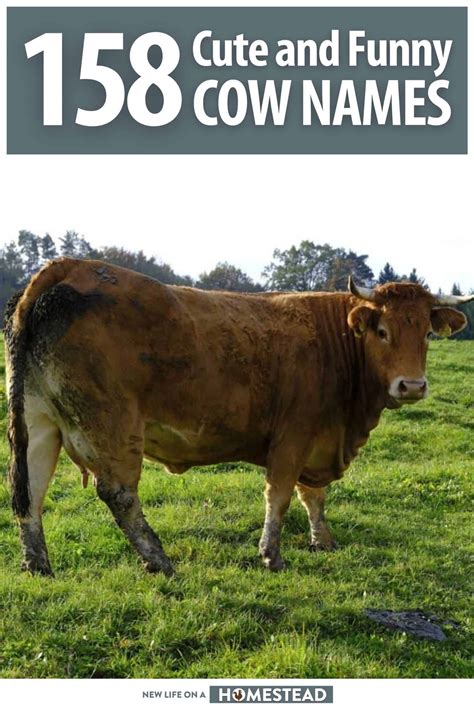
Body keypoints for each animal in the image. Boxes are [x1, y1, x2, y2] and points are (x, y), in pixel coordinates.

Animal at [4, 258, 473, 577]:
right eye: (382, 331)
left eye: (426, 333)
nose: (411, 386)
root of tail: (70, 267)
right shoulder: (294, 436)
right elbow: (280, 495)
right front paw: (271, 554)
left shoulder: (318, 437)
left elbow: (313, 496)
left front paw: (322, 541)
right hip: (111, 423)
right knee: (118, 493)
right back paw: (159, 559)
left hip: (39, 420)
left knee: (31, 489)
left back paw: (38, 565)